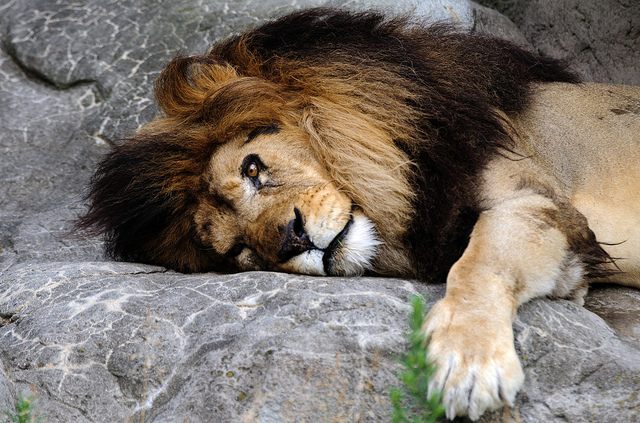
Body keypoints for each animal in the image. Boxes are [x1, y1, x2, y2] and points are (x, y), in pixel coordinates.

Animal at [77, 8, 640, 420]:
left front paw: (465, 362)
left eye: (253, 168)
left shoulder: (533, 198)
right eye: (237, 250)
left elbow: (480, 262)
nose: (294, 240)